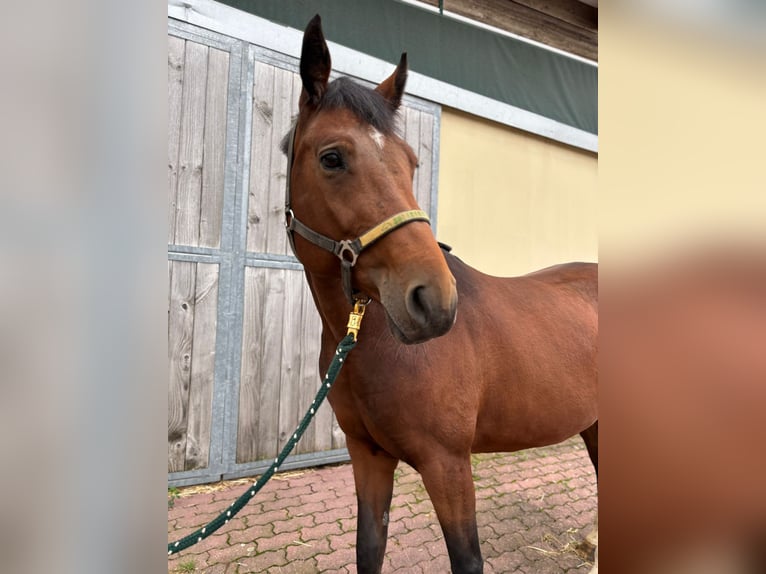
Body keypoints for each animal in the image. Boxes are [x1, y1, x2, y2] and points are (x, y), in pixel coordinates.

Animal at [282, 15, 598, 574]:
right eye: (332, 157)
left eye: (410, 162)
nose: (434, 302)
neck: (373, 346)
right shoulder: (368, 458)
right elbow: (369, 549)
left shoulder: (448, 465)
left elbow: (466, 558)